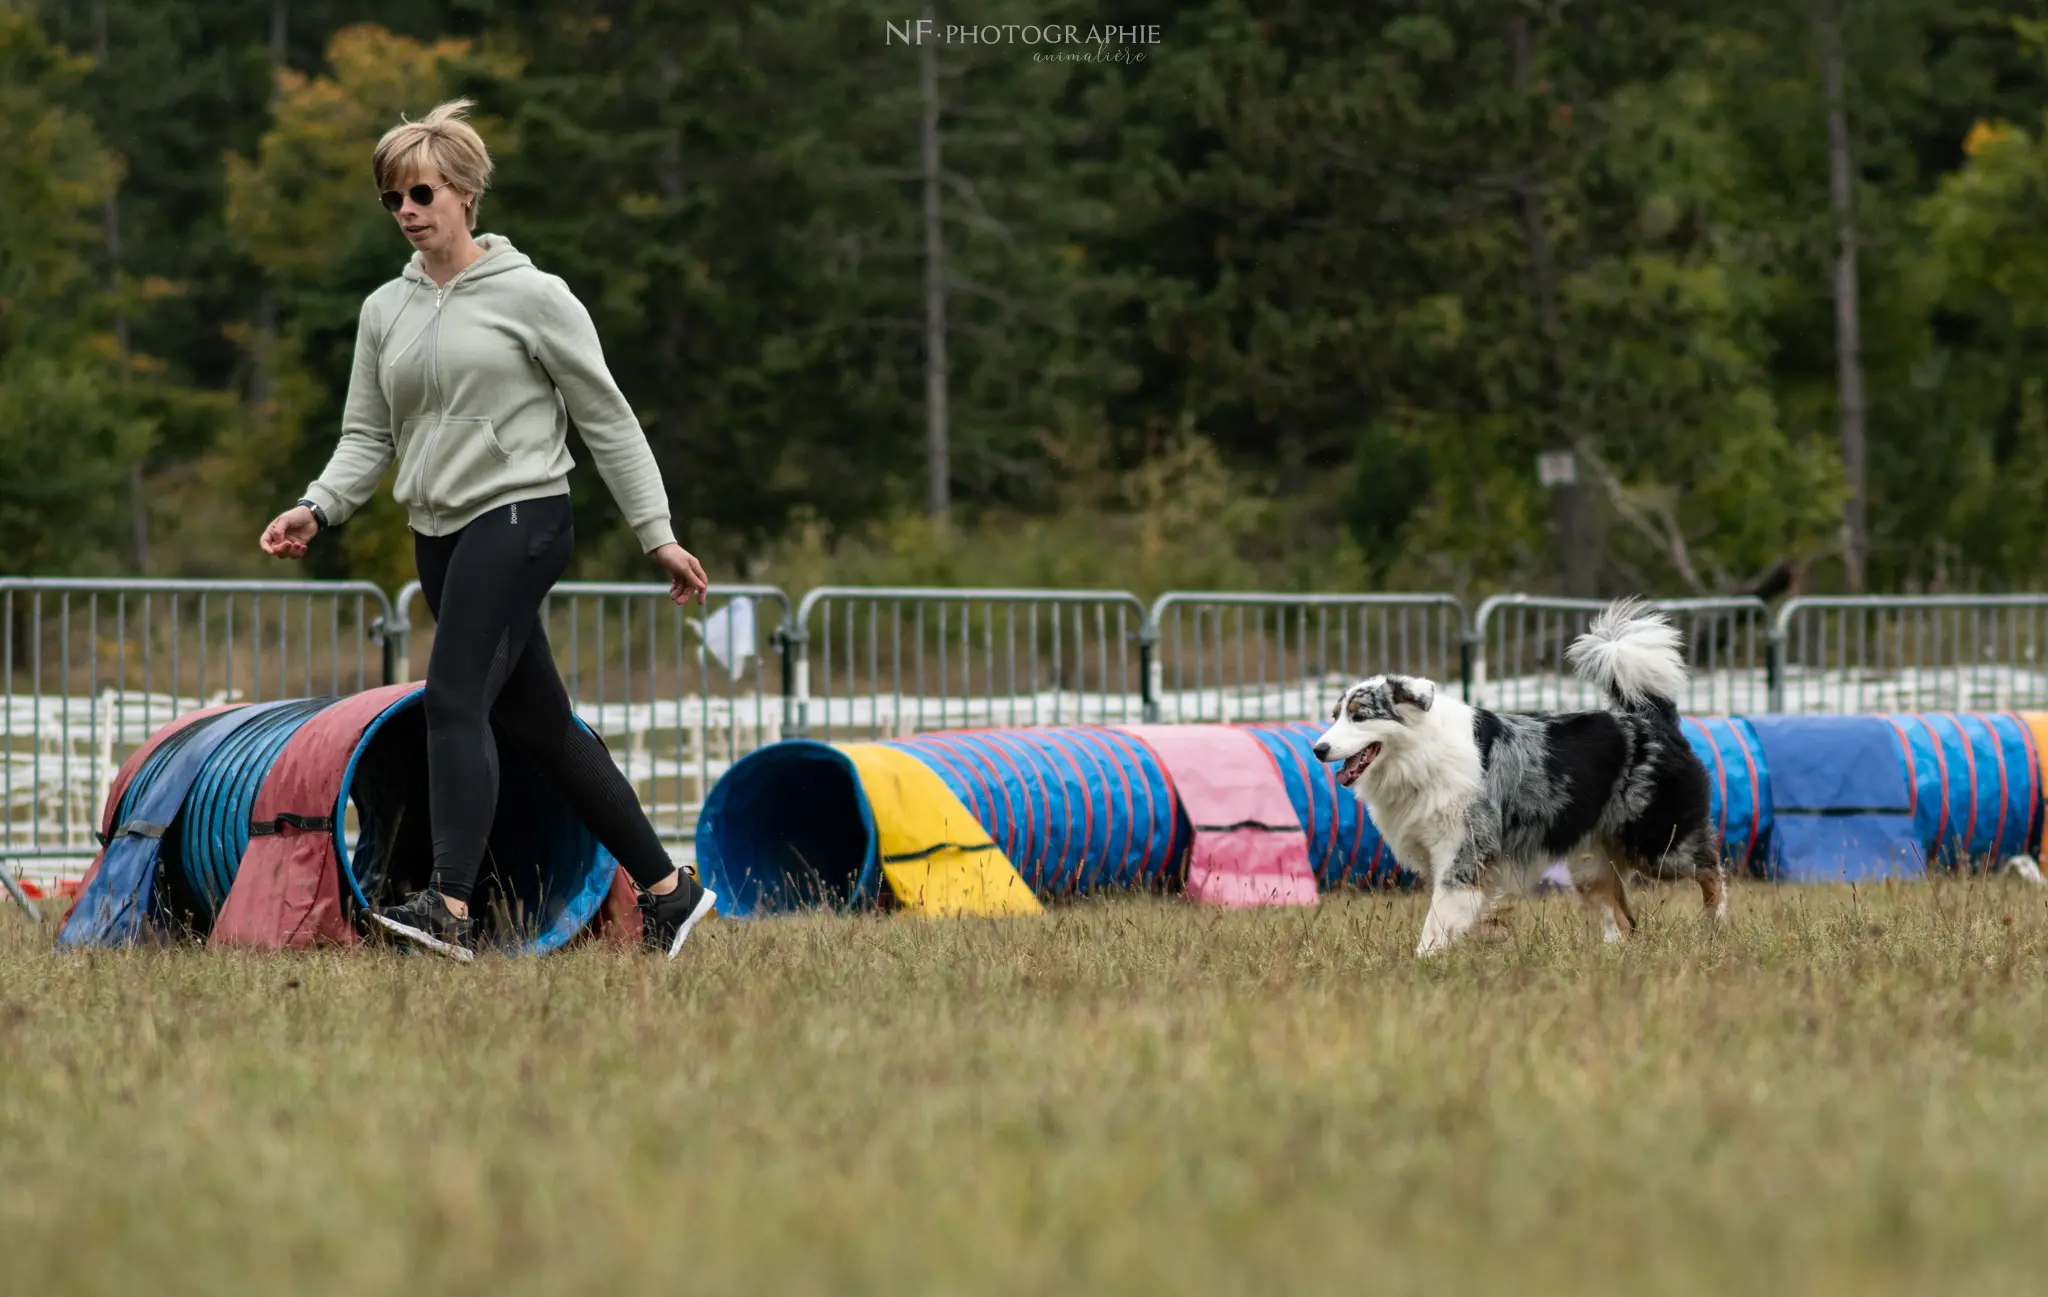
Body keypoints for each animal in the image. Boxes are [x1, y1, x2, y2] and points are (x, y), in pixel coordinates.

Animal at [1310, 598, 1728, 950]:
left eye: (1360, 716)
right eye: (1335, 716)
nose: (1318, 750)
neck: (1419, 755)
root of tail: (1653, 719)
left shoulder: (1464, 853)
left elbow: (1437, 921)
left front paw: (1425, 961)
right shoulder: (1438, 858)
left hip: (1658, 844)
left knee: (1713, 869)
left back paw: (1716, 926)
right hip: (1591, 863)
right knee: (1624, 920)